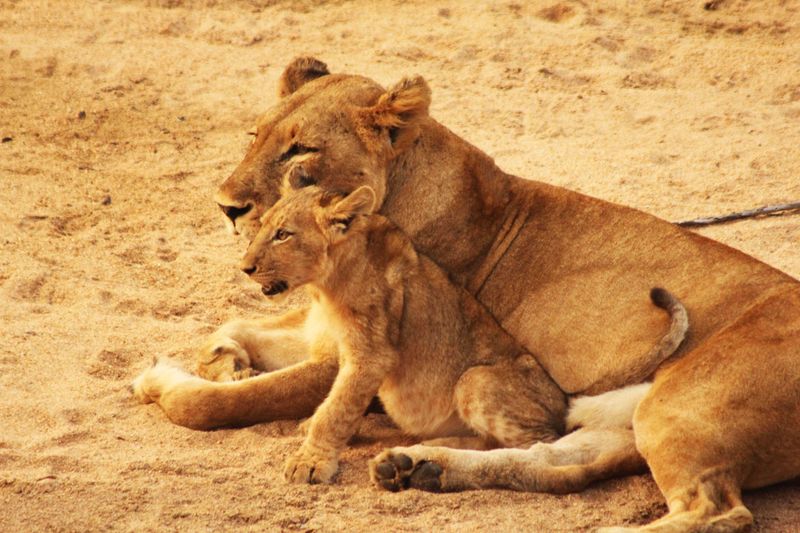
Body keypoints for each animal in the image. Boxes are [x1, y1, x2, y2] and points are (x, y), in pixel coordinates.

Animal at [231, 184, 686, 484]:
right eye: (263, 227)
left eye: (283, 234)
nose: (245, 267)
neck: (326, 283)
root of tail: (562, 394)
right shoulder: (333, 346)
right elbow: (334, 401)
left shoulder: (372, 354)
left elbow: (337, 408)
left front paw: (311, 462)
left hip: (476, 378)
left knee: (530, 444)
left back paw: (420, 458)